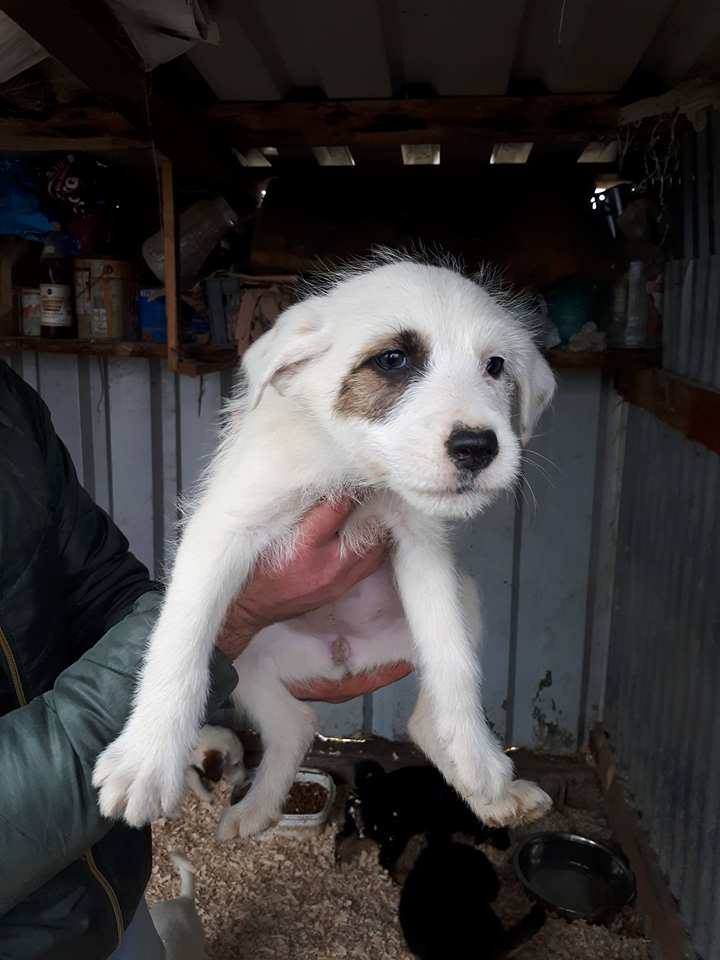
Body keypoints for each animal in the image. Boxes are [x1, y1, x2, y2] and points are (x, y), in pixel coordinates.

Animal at [94, 255, 556, 840]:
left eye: (495, 367)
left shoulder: (422, 548)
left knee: (416, 719)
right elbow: (178, 645)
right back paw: (256, 809)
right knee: (294, 722)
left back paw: (492, 793)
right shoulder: (220, 532)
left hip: (466, 596)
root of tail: (342, 657)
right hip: (244, 655)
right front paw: (146, 760)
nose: (478, 447)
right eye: (393, 359)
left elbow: (452, 659)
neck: (355, 472)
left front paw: (478, 756)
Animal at [338, 760, 512, 872]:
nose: (506, 844)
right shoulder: (439, 829)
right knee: (385, 859)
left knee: (342, 836)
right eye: (500, 827)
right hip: (394, 838)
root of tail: (366, 791)